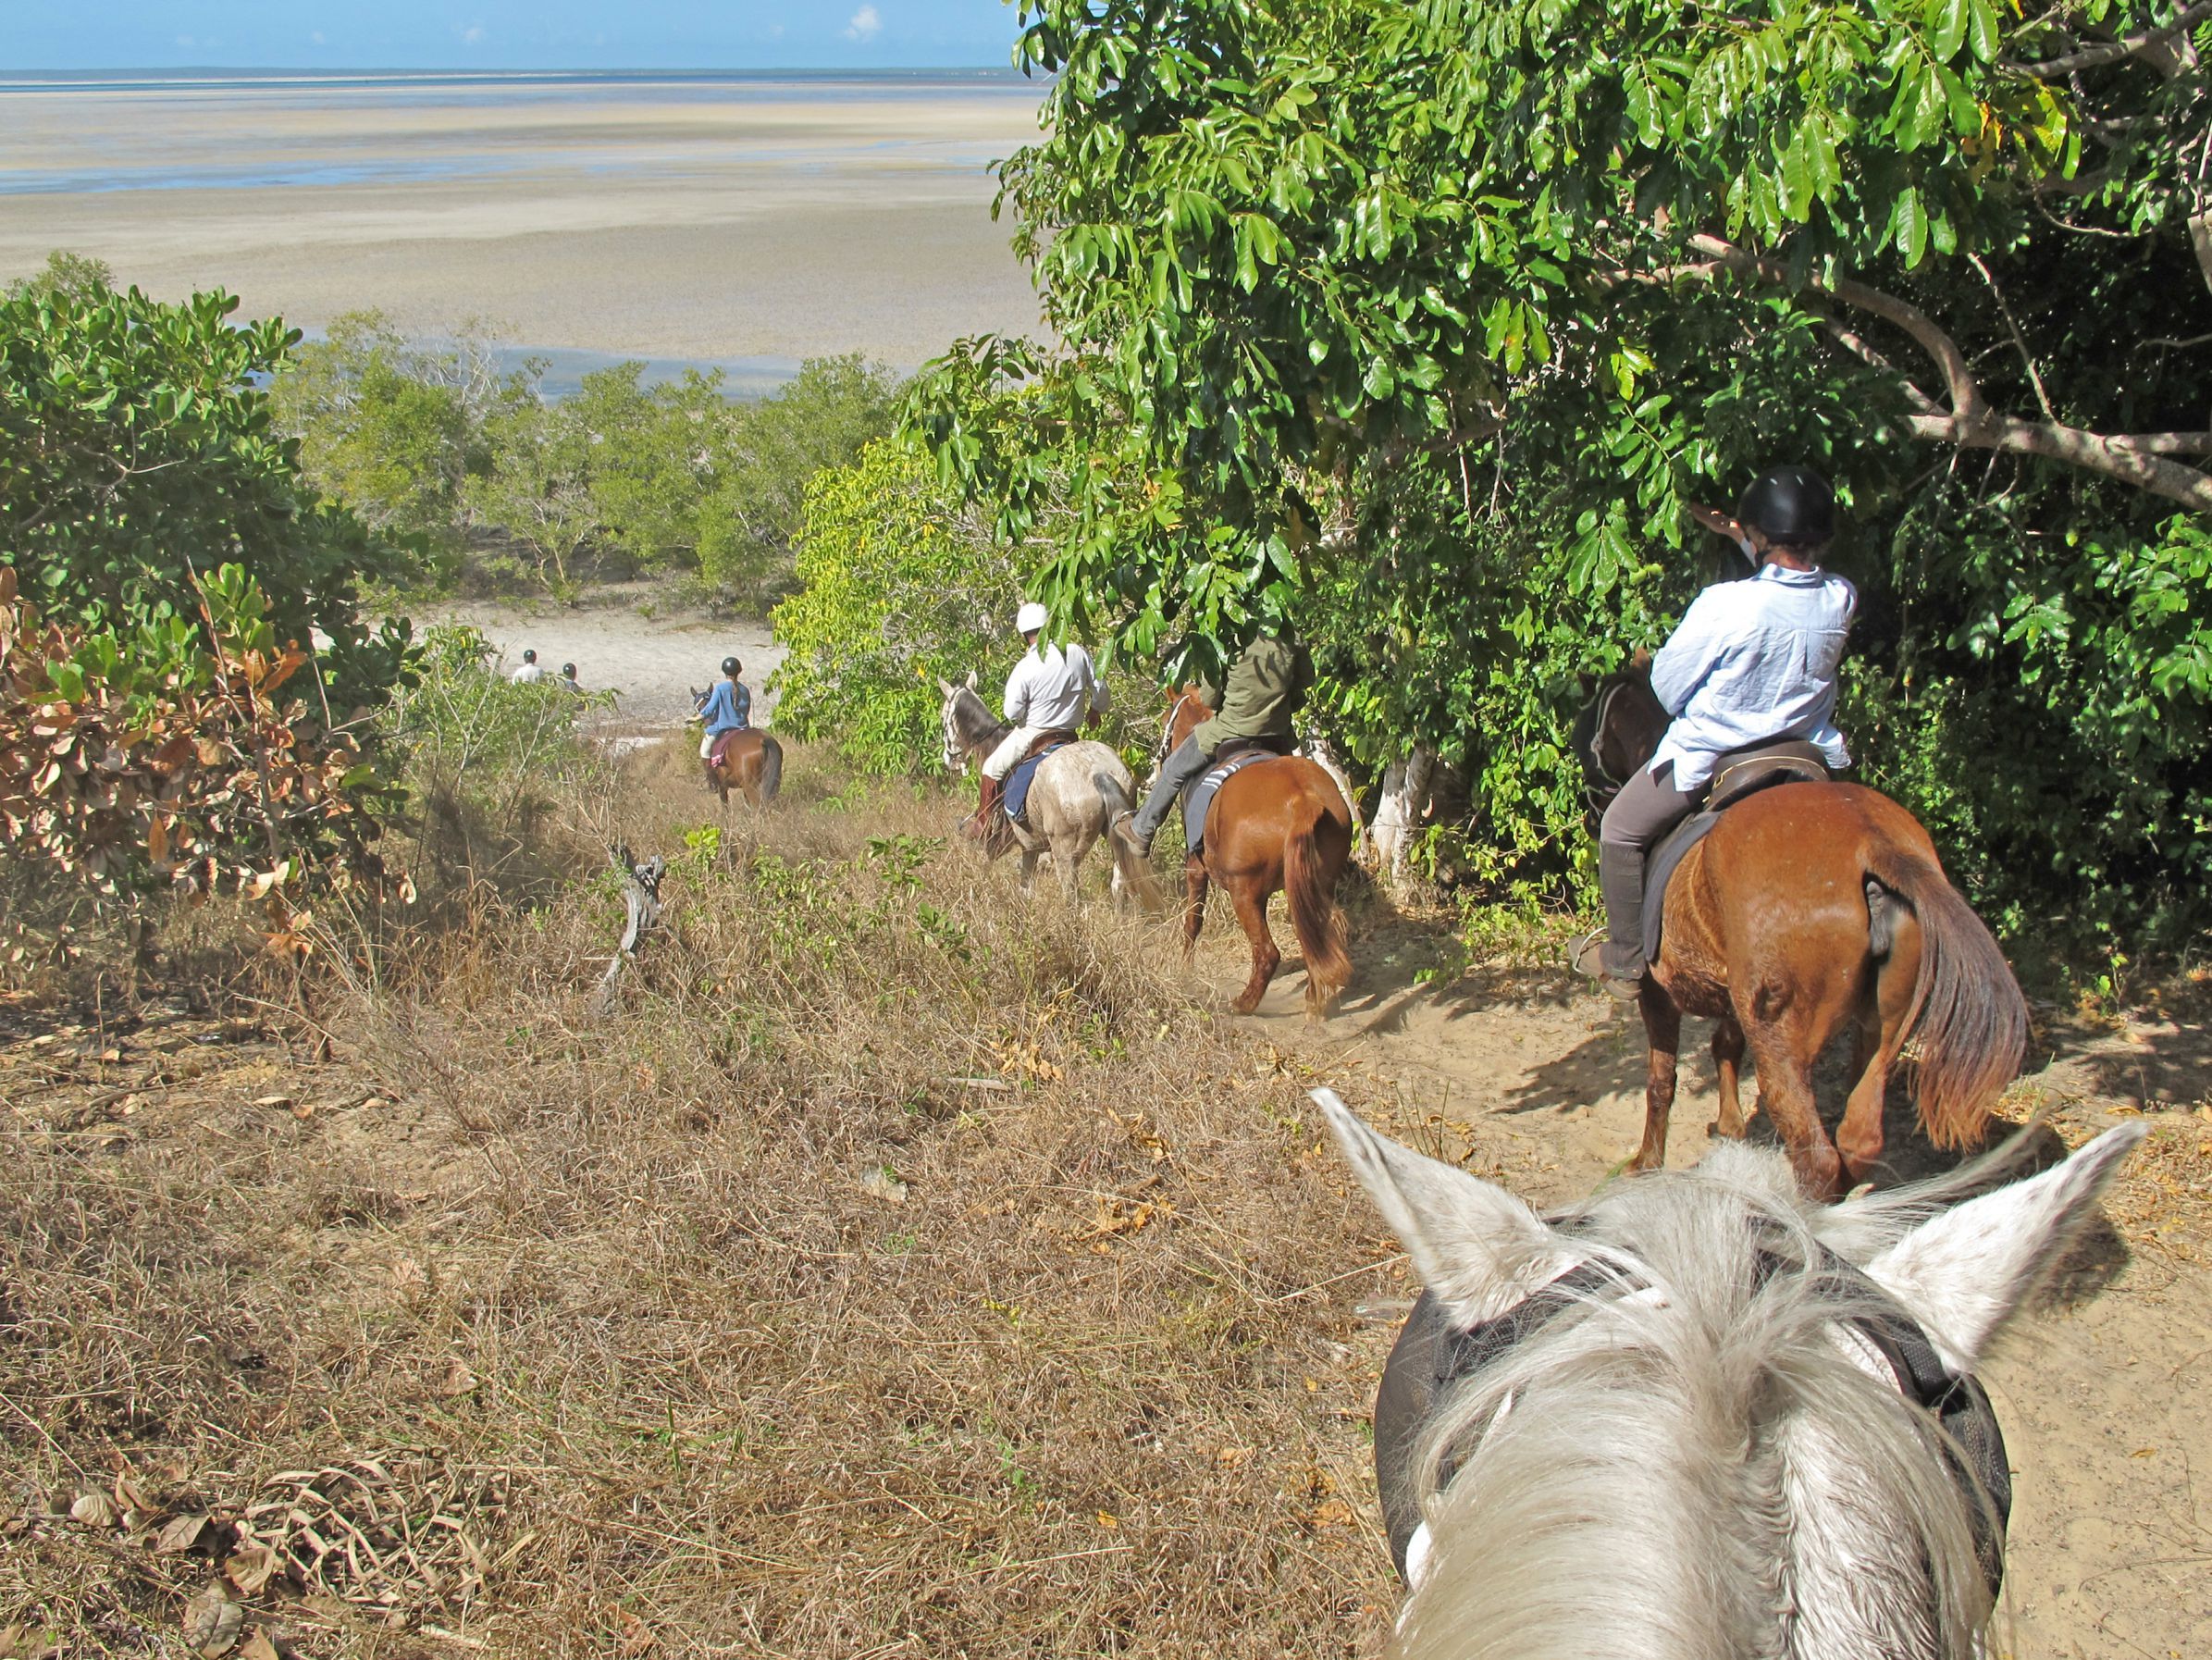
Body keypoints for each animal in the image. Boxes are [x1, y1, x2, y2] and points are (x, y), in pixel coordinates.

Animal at [937, 673, 1168, 911]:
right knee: (1118, 884)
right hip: (1116, 837)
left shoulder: (1001, 844)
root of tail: (1099, 772)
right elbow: (1025, 887)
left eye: (944, 718)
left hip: (1065, 848)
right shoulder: (1030, 847)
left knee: (1071, 893)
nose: (948, 759)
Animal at [1150, 686, 1353, 1013]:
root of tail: (1303, 800)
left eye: (1164, 719)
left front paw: (1185, 971)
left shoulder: (1196, 867)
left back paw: (1245, 1003)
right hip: (1316, 885)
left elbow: (1193, 921)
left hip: (1243, 893)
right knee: (1316, 936)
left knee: (1268, 952)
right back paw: (1315, 1001)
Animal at [1575, 668, 2026, 1204]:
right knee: (1857, 1138)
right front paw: (1730, 1128)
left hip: (1783, 1039)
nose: (1592, 815)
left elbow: (1661, 1080)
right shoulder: (1733, 994)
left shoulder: (1657, 993)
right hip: (1883, 1029)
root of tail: (1874, 844)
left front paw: (1646, 1164)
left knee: (1817, 1157)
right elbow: (1725, 1045)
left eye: (1585, 734)